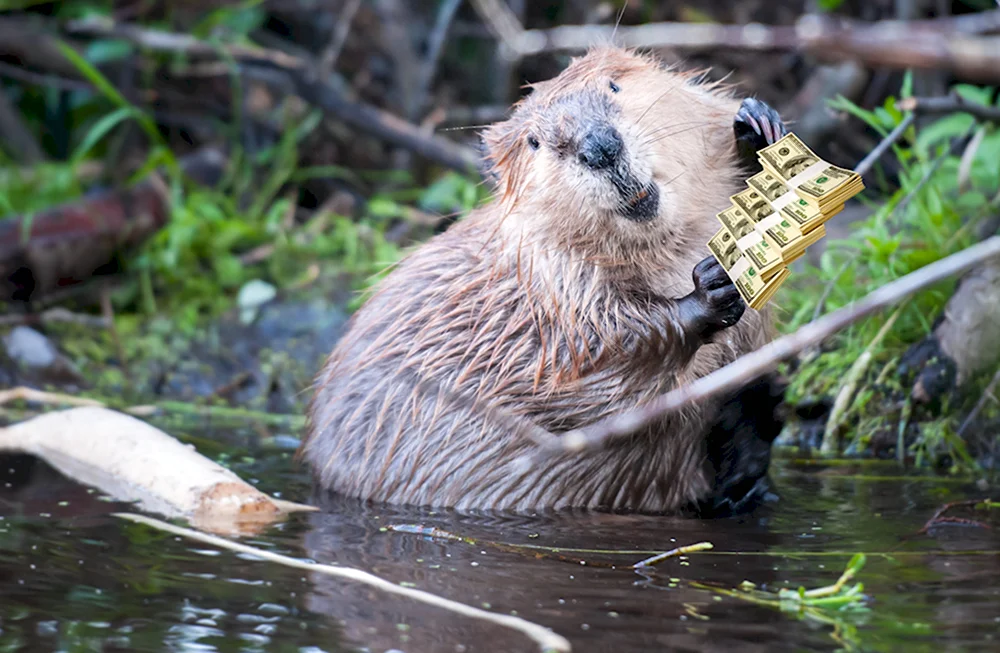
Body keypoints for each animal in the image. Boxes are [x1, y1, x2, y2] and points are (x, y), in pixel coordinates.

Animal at [302, 47, 788, 516]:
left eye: (613, 85)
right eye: (534, 141)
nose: (599, 147)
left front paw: (757, 127)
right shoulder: (548, 291)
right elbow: (595, 375)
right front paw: (711, 287)